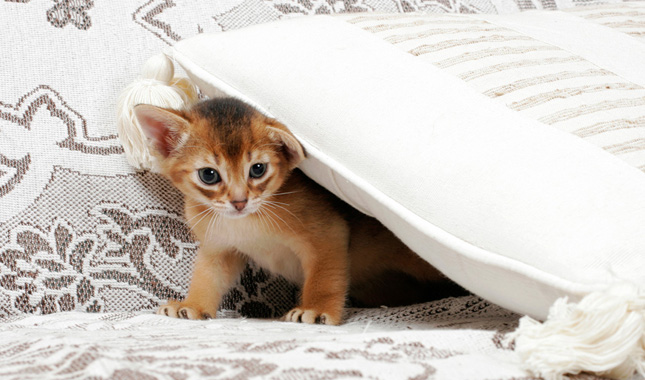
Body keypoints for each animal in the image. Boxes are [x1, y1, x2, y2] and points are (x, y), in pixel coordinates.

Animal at [133, 97, 450, 324]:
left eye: (257, 169)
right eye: (208, 175)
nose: (239, 201)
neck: (247, 222)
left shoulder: (328, 234)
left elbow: (325, 277)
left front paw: (316, 310)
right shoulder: (218, 247)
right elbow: (207, 276)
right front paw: (193, 306)